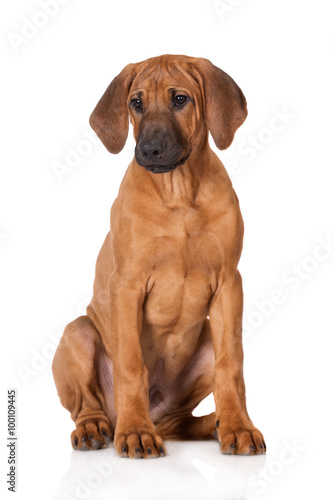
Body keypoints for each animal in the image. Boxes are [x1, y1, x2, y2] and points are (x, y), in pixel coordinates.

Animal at [52, 53, 266, 458]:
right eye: (135, 103)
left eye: (180, 100)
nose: (149, 151)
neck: (178, 193)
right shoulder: (127, 285)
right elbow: (131, 366)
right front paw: (137, 433)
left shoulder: (230, 284)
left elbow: (233, 366)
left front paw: (238, 427)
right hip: (80, 332)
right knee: (87, 405)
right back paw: (99, 428)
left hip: (206, 343)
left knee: (179, 420)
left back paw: (213, 424)